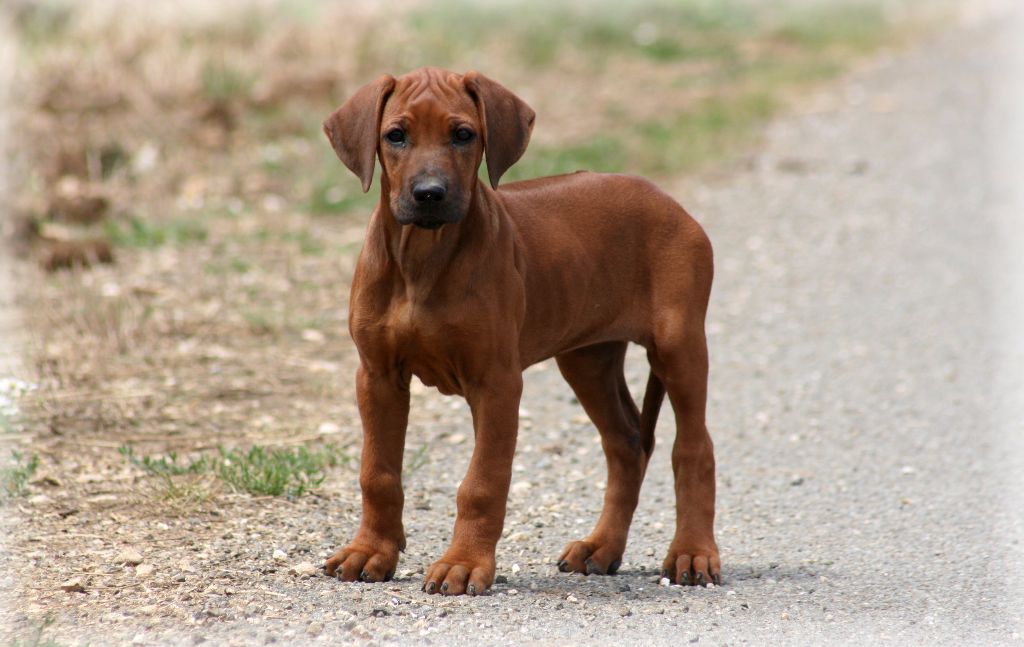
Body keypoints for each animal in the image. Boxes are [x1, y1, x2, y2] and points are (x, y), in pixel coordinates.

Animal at [323, 67, 716, 597]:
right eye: (396, 135)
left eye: (463, 134)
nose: (430, 194)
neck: (423, 257)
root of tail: (667, 199)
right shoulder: (377, 375)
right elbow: (377, 473)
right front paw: (371, 551)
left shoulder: (497, 383)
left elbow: (483, 483)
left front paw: (464, 563)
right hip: (588, 359)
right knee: (627, 445)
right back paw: (601, 547)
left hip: (679, 345)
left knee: (693, 448)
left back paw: (693, 552)